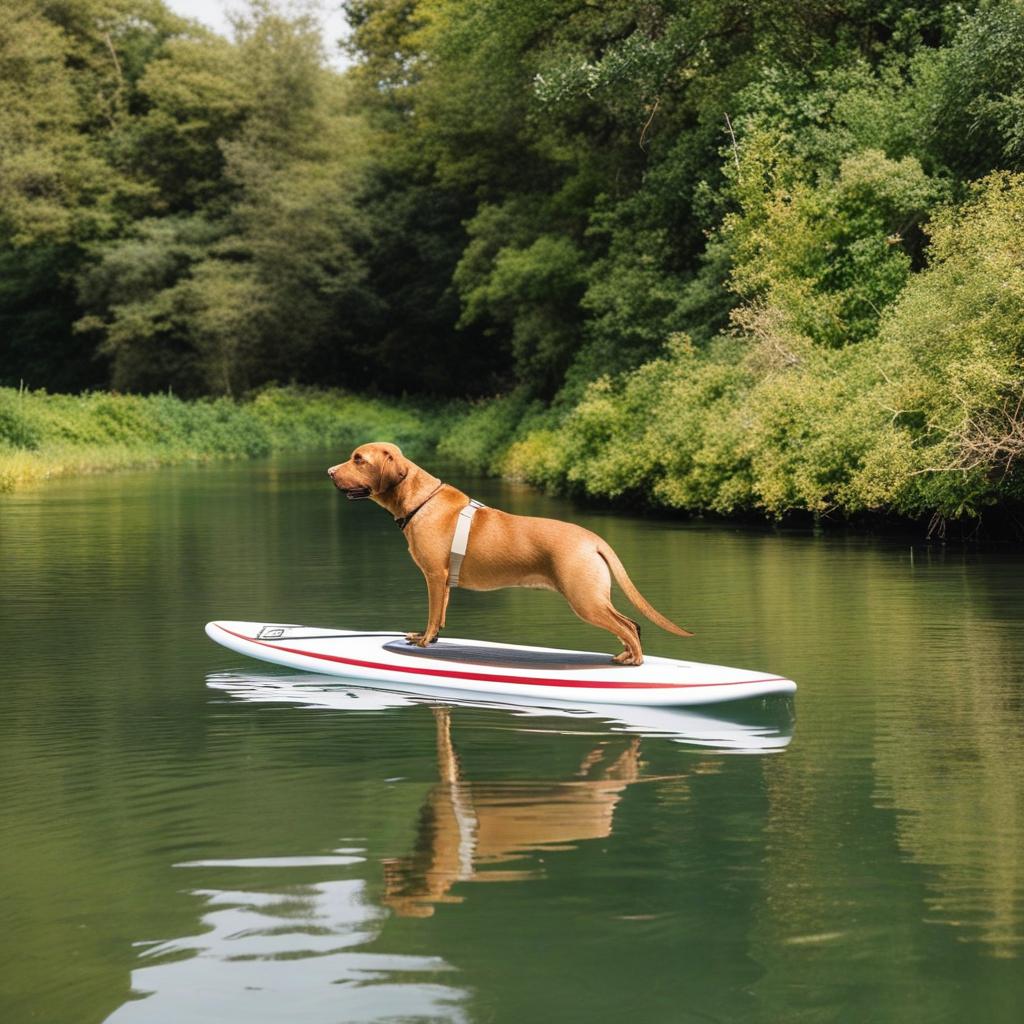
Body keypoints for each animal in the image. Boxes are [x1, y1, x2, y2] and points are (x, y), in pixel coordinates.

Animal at [329, 440, 696, 663]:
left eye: (358, 459)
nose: (330, 471)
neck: (421, 500)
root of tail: (593, 539)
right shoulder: (444, 582)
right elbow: (441, 615)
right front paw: (429, 639)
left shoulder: (434, 576)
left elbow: (433, 615)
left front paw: (424, 639)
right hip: (594, 597)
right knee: (630, 624)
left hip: (585, 599)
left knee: (629, 627)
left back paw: (635, 660)